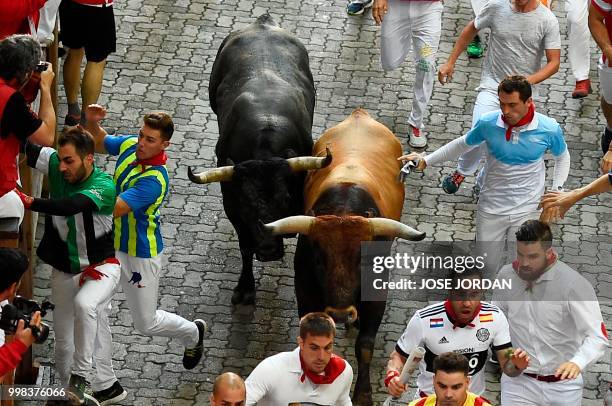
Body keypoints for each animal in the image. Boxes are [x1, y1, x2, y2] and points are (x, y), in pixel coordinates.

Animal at [188, 14, 330, 304]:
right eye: (246, 204)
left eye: (284, 198)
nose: (267, 250)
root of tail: (263, 22)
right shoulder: (232, 206)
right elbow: (244, 246)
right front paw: (245, 287)